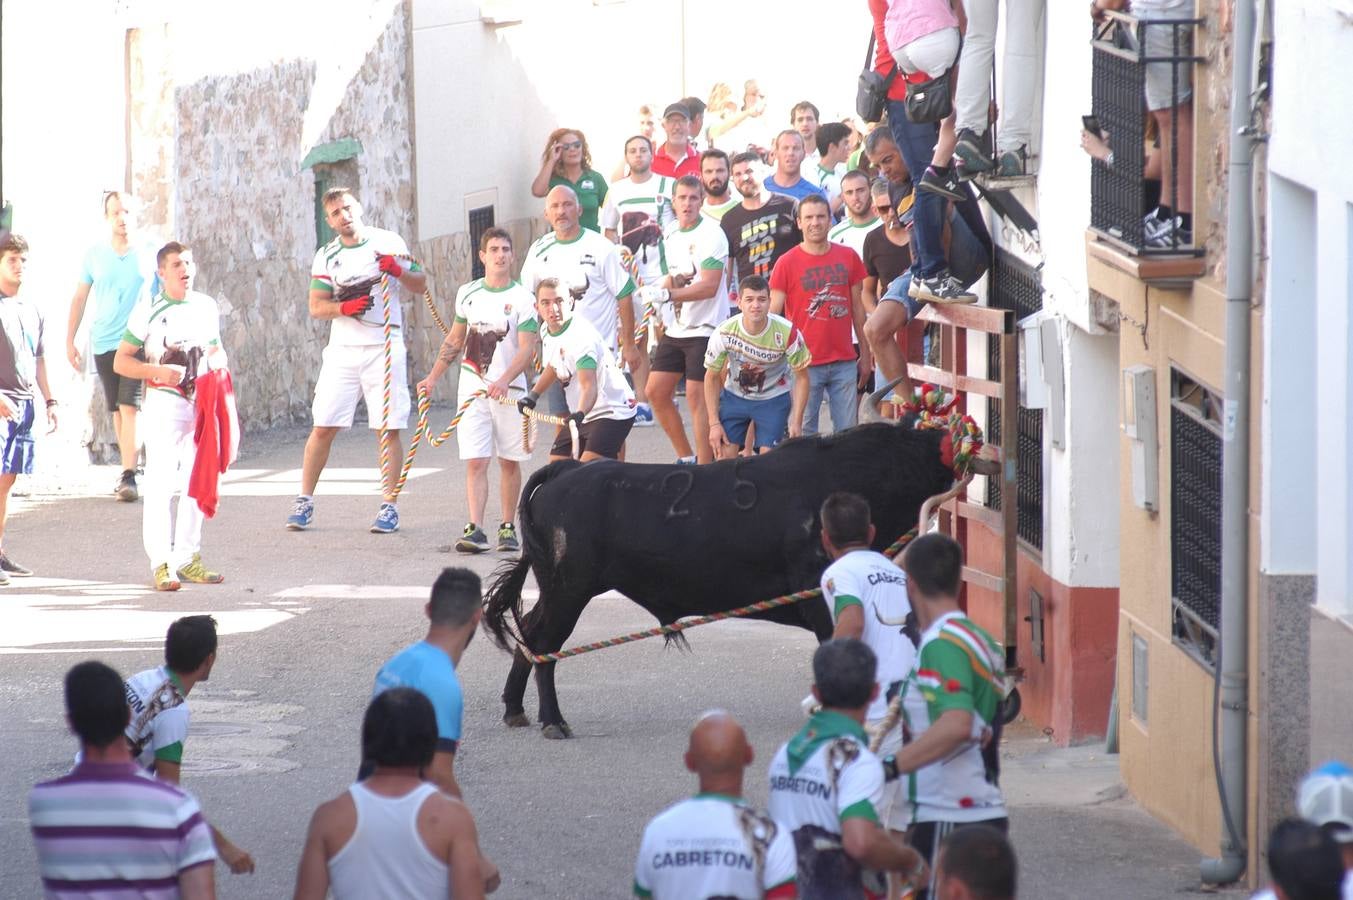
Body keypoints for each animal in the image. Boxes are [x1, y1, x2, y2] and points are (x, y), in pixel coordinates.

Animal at [484, 422, 984, 736]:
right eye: (922, 453)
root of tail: (571, 468)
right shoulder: (822, 602)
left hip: (557, 588)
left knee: (530, 635)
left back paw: (514, 709)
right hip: (570, 590)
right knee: (545, 644)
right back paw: (553, 721)